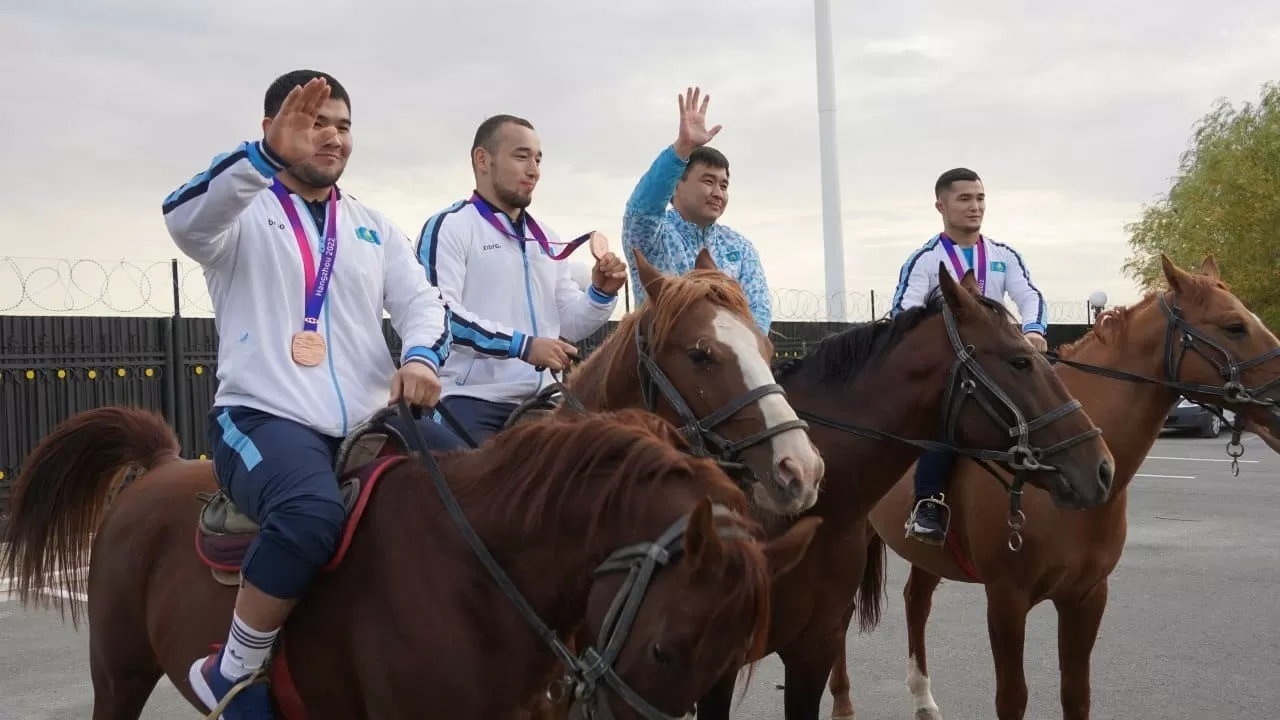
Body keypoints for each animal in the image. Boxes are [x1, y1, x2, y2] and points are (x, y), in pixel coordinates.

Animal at [0, 404, 819, 717]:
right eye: (664, 648)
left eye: (727, 662)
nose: (795, 471)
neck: (480, 573)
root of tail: (163, 466)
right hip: (120, 676)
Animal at [535, 254, 1116, 712]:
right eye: (1020, 362)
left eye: (769, 352)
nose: (1101, 467)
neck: (811, 519)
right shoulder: (709, 668)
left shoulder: (811, 650)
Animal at [824, 252, 1280, 717]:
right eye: (1234, 326)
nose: (1100, 471)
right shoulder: (1006, 600)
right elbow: (1012, 697)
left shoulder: (1086, 597)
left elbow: (1076, 694)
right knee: (840, 619)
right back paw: (843, 701)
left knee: (915, 602)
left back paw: (923, 699)